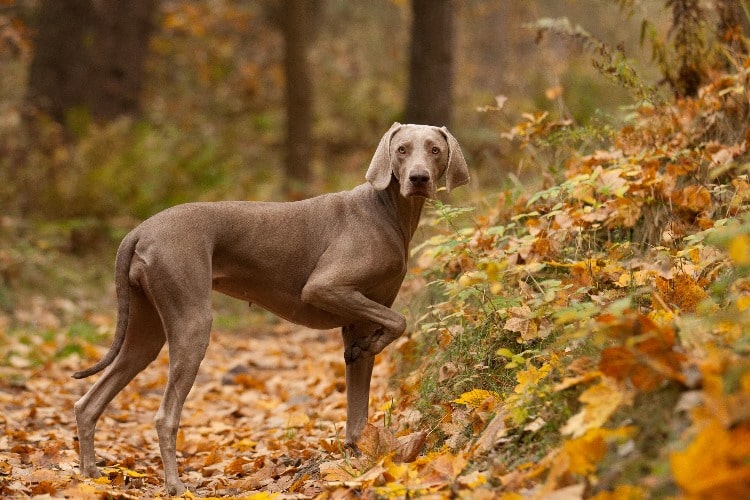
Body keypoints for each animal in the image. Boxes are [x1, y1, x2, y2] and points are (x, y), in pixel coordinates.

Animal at [70, 122, 470, 496]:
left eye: (434, 149)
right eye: (402, 149)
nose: (418, 179)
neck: (388, 211)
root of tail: (140, 230)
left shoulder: (357, 322)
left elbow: (358, 407)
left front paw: (356, 461)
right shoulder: (324, 288)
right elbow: (399, 321)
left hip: (145, 333)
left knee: (88, 403)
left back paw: (91, 475)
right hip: (192, 323)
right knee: (165, 415)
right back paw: (175, 486)